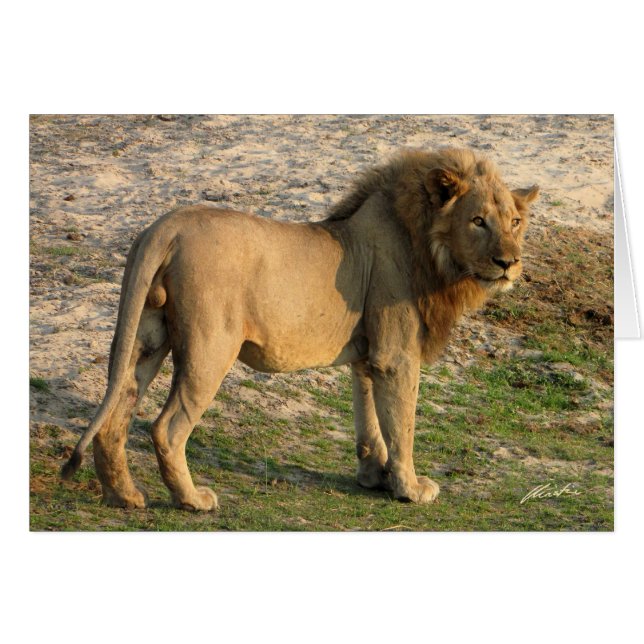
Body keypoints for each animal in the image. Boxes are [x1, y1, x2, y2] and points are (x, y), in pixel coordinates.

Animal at [61, 147, 538, 511]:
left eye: (515, 222)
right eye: (478, 221)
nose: (509, 262)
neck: (431, 251)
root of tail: (167, 226)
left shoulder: (368, 355)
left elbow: (369, 420)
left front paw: (374, 477)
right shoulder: (396, 354)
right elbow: (401, 423)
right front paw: (410, 488)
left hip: (146, 335)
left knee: (115, 416)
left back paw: (125, 496)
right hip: (209, 348)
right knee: (166, 428)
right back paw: (192, 500)